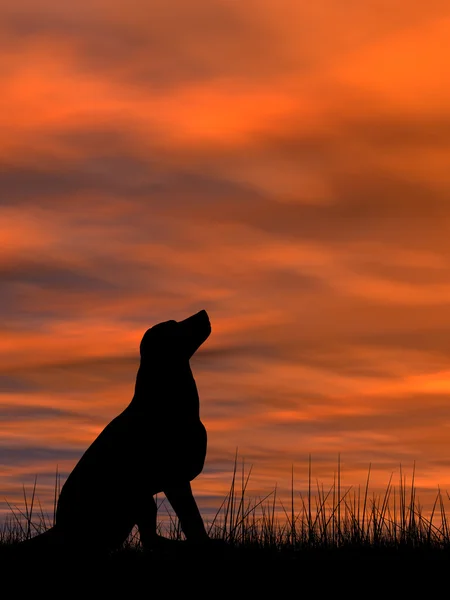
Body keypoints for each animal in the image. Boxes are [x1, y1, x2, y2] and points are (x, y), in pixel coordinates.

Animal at [18, 312, 212, 556]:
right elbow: (193, 520)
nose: (203, 312)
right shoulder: (175, 479)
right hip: (134, 500)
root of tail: (59, 527)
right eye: (173, 325)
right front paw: (204, 544)